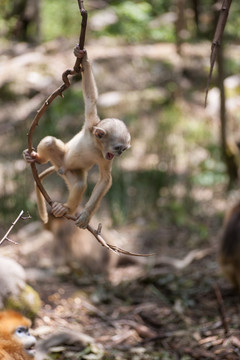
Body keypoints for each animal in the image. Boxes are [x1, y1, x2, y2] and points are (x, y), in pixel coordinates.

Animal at [23, 45, 130, 228]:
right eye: (118, 148)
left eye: (123, 150)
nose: (119, 154)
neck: (96, 145)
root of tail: (61, 167)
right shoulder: (91, 124)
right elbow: (91, 98)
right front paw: (83, 58)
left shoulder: (105, 157)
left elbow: (105, 179)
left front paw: (86, 215)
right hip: (61, 158)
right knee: (50, 142)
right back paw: (37, 158)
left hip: (71, 173)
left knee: (79, 184)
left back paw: (66, 209)